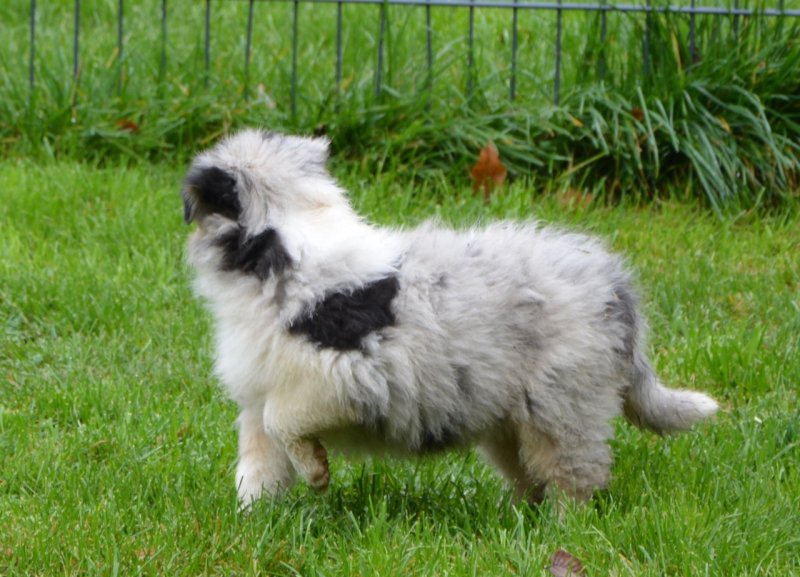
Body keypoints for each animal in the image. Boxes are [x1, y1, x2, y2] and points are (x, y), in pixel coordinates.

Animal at [181, 129, 718, 507]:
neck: (287, 240)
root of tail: (615, 283)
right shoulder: (259, 391)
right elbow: (259, 462)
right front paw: (254, 520)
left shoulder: (342, 378)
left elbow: (284, 421)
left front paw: (317, 473)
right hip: (508, 418)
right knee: (529, 476)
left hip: (563, 405)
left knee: (574, 475)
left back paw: (564, 527)